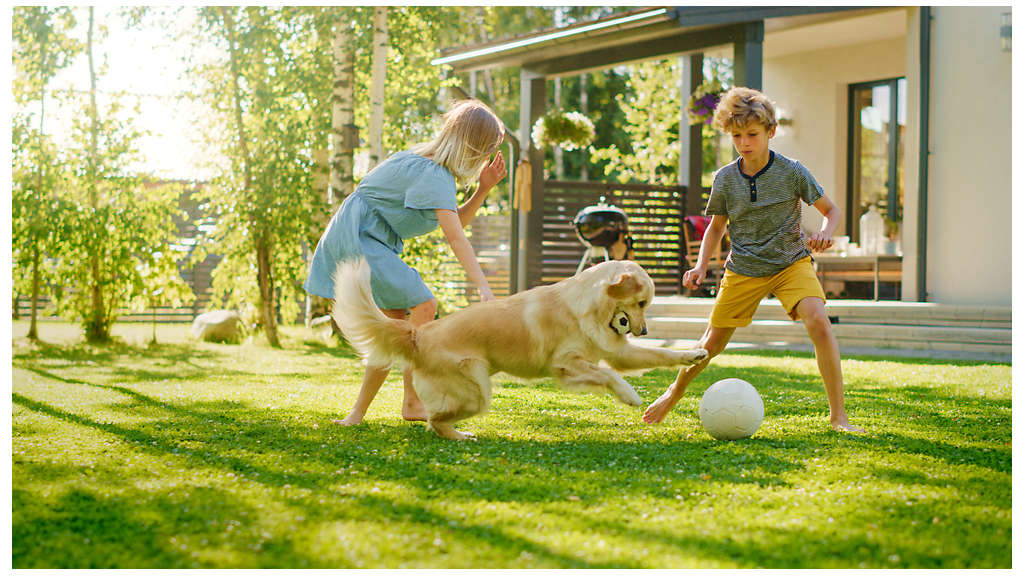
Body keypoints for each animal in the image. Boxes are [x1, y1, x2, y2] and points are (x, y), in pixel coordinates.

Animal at [331, 258, 708, 436]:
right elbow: (608, 375)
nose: (644, 330)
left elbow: (661, 355)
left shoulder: (617, 352)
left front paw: (694, 353)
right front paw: (629, 395)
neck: (588, 307)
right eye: (641, 302)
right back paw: (460, 435)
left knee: (435, 419)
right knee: (435, 420)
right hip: (477, 389)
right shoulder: (565, 363)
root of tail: (418, 335)